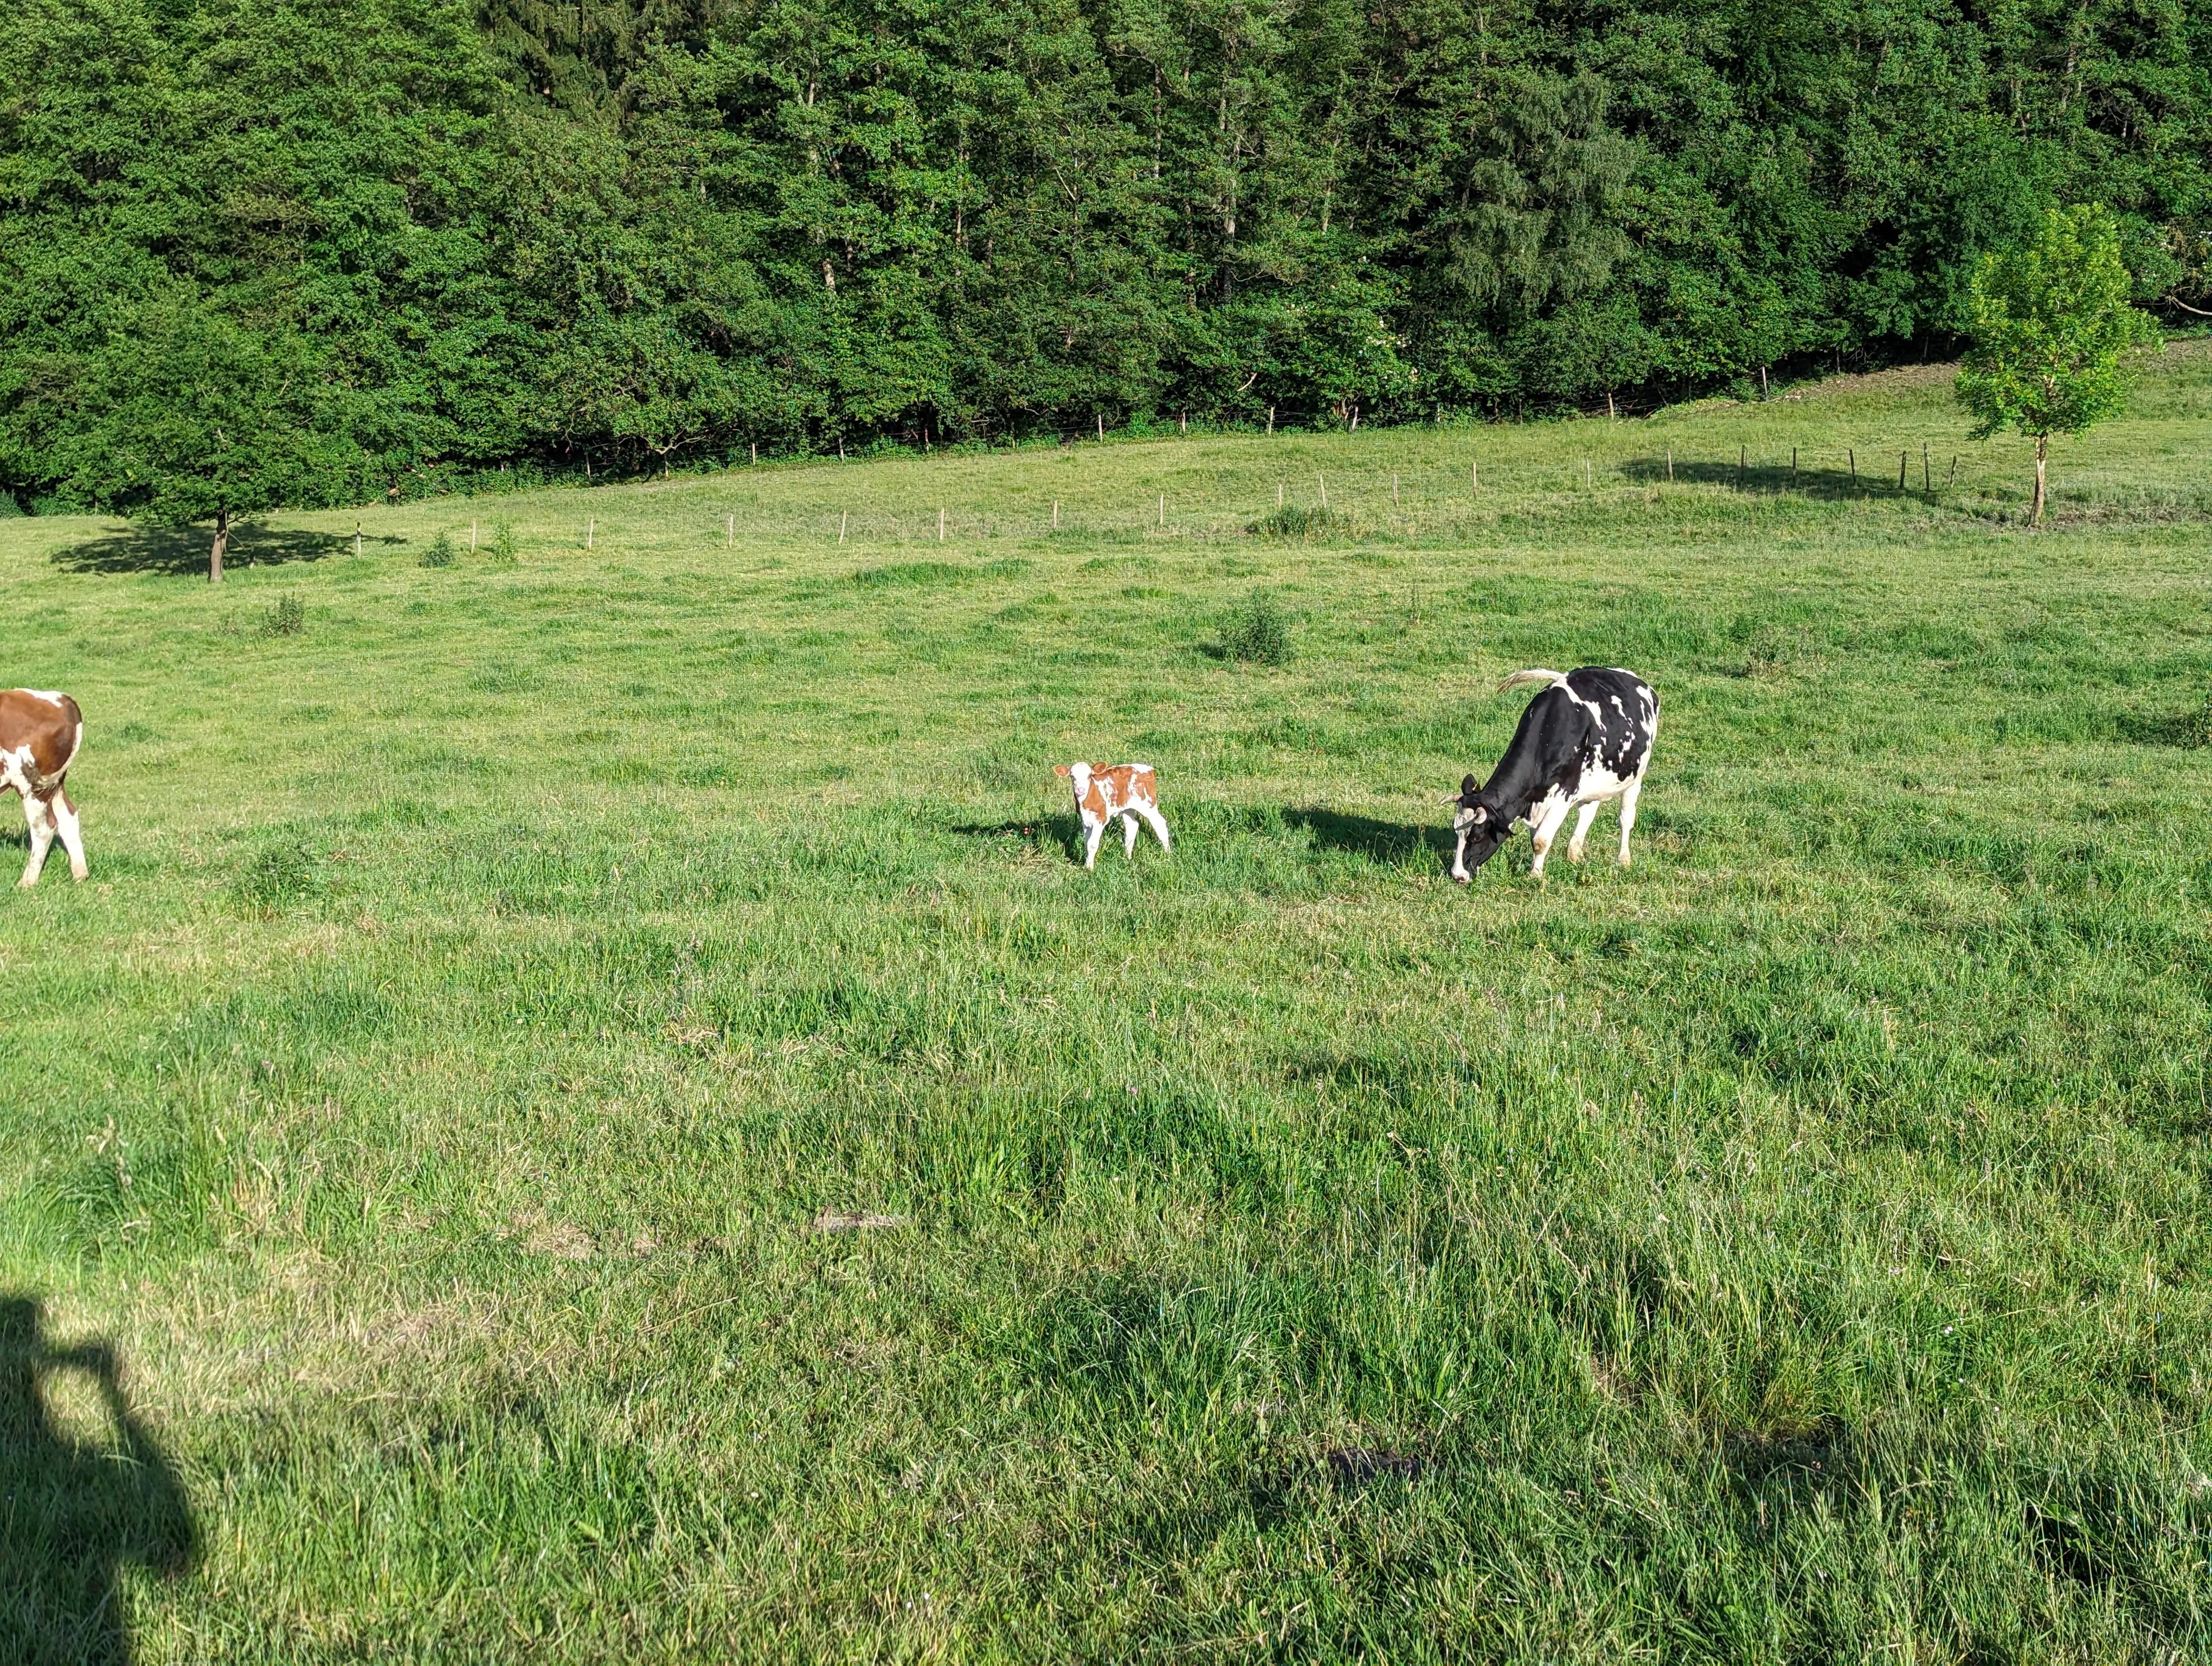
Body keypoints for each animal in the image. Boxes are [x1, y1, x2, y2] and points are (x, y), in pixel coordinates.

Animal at [1, 688, 87, 888]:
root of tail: (63, 699)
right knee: (69, 818)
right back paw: (80, 874)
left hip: (32, 786)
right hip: (55, 784)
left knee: (44, 829)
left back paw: (27, 882)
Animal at [1054, 762, 1172, 869]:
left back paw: (1167, 853)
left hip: (1148, 805)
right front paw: (1087, 865)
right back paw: (1128, 857)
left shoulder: (1101, 819)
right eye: (1072, 776)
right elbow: (1087, 844)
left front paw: (1090, 869)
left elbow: (1092, 844)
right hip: (1127, 807)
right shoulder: (1085, 820)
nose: (1081, 789)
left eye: (1089, 776)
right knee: (1132, 826)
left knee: (1159, 823)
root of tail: (1149, 769)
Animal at [1450, 667, 1656, 885]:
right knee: (1588, 812)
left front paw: (1535, 876)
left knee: (1626, 818)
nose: (1458, 875)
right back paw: (1575, 854)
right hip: (1593, 781)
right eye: (1456, 831)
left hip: (1636, 776)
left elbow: (1541, 840)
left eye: (1476, 837)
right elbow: (1535, 836)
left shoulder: (1563, 796)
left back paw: (1623, 859)